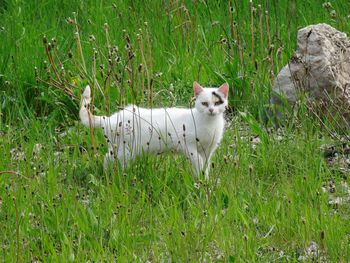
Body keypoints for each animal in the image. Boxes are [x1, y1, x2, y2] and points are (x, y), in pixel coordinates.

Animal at [80, 81, 231, 178]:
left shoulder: (208, 150)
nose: (211, 110)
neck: (209, 124)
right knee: (107, 159)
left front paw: (204, 180)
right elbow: (197, 161)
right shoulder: (188, 145)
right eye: (204, 103)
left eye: (217, 102)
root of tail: (110, 118)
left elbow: (205, 165)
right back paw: (114, 175)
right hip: (126, 150)